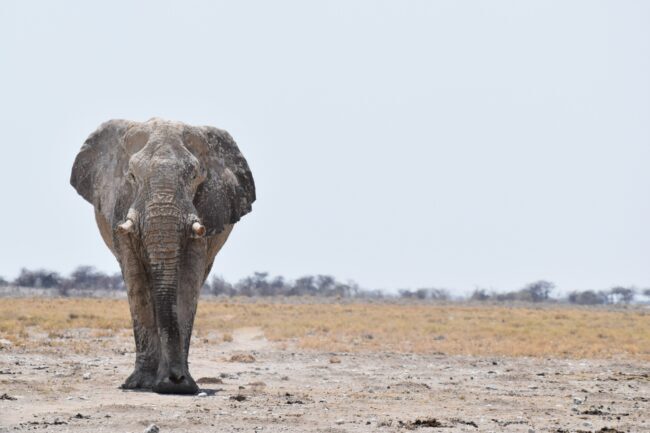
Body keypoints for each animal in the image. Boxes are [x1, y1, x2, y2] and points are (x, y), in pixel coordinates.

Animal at [70, 118, 255, 394]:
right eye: (132, 176)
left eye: (194, 176)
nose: (175, 379)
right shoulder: (119, 208)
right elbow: (136, 280)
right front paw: (140, 383)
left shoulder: (206, 213)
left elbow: (187, 282)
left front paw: (180, 383)